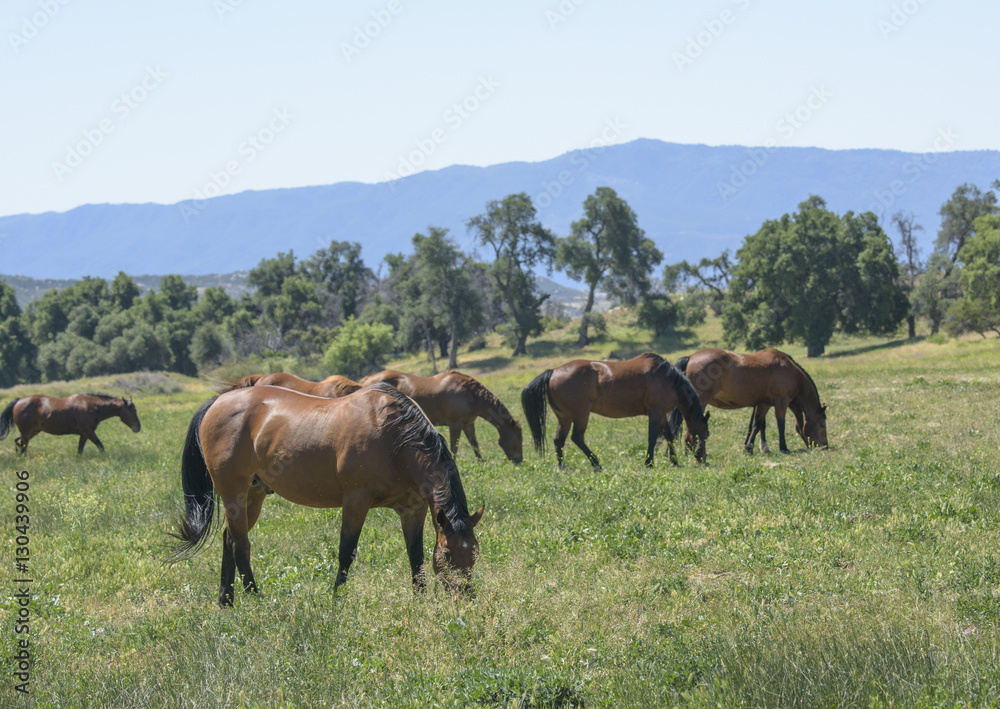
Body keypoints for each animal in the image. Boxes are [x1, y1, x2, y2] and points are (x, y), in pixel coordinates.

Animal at [0, 392, 142, 454]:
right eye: (131, 411)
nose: (138, 427)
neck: (91, 406)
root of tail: (19, 400)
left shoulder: (85, 434)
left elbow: (80, 449)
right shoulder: (88, 431)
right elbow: (100, 445)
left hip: (33, 431)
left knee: (19, 442)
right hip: (27, 431)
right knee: (22, 444)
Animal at [168, 384, 484, 604]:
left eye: (475, 552)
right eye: (447, 553)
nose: (464, 598)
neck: (394, 436)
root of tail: (218, 402)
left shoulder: (413, 509)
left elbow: (416, 556)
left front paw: (420, 599)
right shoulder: (356, 501)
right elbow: (347, 552)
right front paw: (336, 599)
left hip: (253, 495)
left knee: (229, 538)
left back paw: (226, 600)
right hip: (233, 491)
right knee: (241, 545)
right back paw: (255, 598)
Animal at [362, 370, 532, 464]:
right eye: (518, 437)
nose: (519, 460)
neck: (470, 394)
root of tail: (366, 380)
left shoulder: (468, 425)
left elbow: (475, 445)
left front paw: (481, 462)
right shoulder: (455, 425)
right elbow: (454, 447)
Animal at [520, 354, 708, 470]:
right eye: (703, 436)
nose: (702, 460)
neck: (666, 378)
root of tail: (553, 372)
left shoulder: (661, 414)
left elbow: (668, 436)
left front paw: (674, 461)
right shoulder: (655, 412)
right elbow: (652, 437)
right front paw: (649, 462)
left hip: (564, 417)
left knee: (559, 440)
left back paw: (562, 466)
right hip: (581, 415)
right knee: (577, 438)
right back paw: (596, 464)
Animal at [672, 348, 828, 454]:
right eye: (822, 425)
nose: (825, 446)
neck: (790, 371)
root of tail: (691, 357)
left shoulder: (763, 403)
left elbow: (756, 425)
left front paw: (751, 447)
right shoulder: (780, 402)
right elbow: (780, 425)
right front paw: (783, 447)